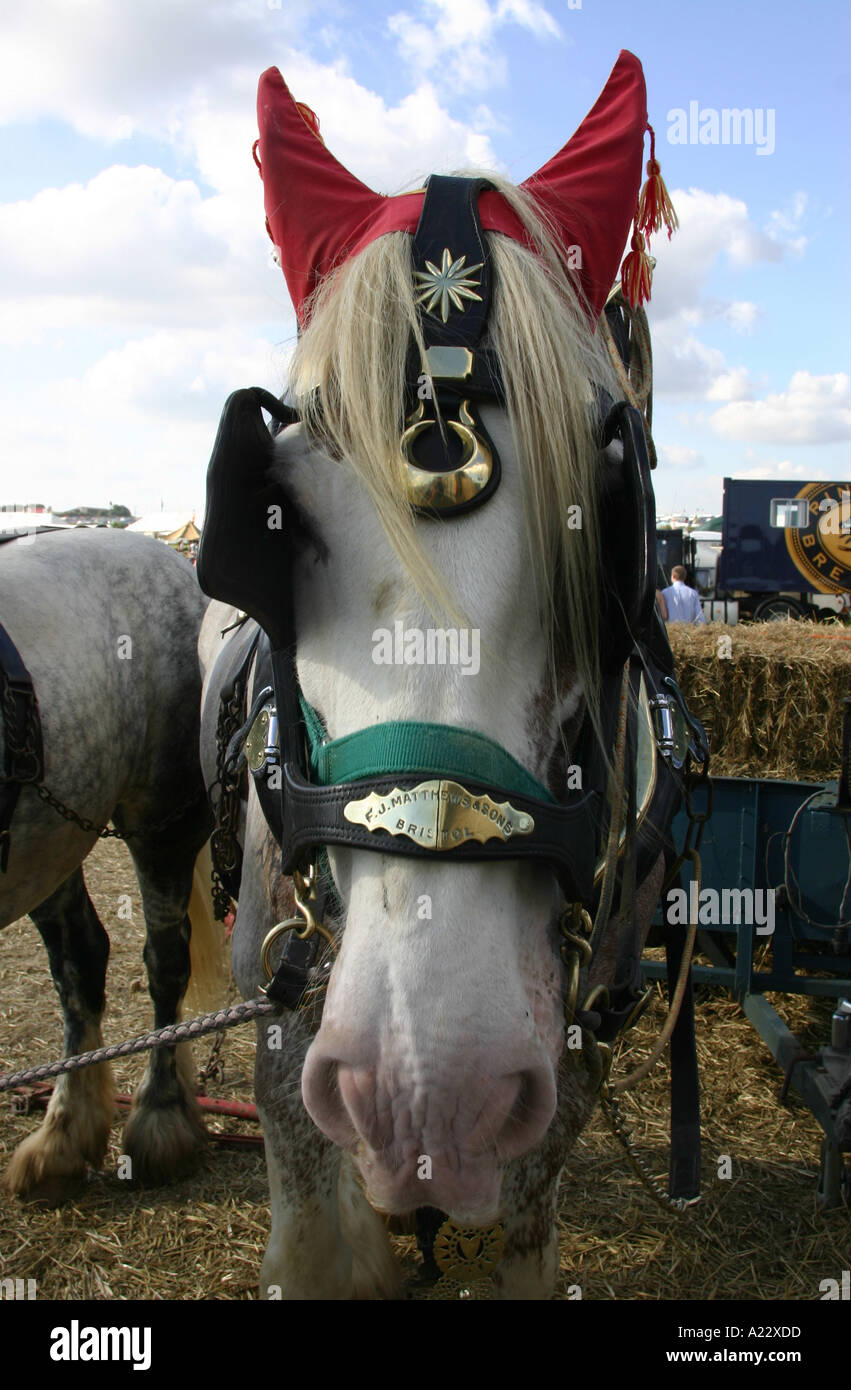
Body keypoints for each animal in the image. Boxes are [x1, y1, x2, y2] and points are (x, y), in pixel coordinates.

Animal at [0, 527, 217, 1203]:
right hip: (51, 843)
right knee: (81, 960)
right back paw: (64, 1135)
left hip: (160, 824)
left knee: (164, 962)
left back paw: (160, 1116)